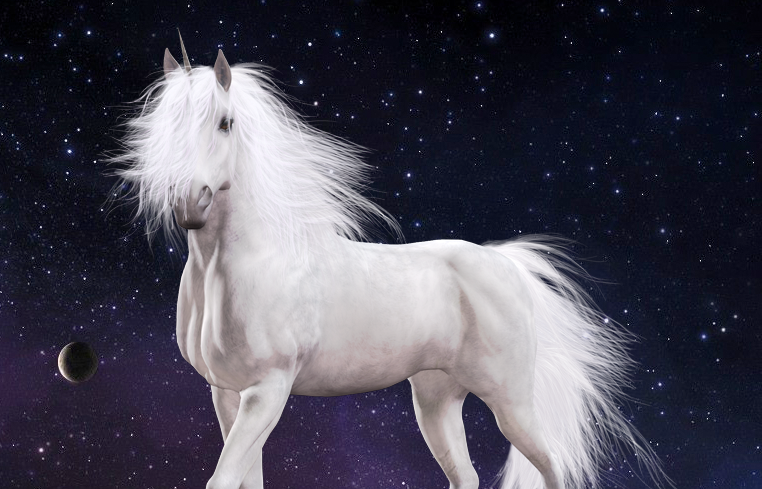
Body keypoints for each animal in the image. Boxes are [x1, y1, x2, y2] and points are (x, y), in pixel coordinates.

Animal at [109, 34, 674, 489]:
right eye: (163, 129)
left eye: (225, 123)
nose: (190, 204)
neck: (244, 265)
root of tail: (503, 265)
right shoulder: (227, 394)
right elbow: (245, 479)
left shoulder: (267, 391)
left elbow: (222, 478)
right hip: (436, 400)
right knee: (465, 476)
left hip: (510, 401)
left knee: (551, 466)